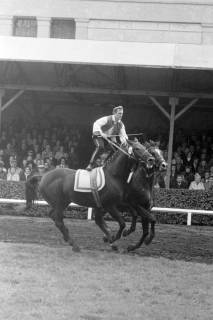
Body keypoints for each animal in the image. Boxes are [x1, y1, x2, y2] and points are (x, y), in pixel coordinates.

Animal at [25, 141, 154, 251]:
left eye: (144, 147)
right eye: (137, 148)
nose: (151, 159)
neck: (113, 175)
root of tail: (43, 176)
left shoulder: (117, 203)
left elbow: (133, 216)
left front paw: (114, 237)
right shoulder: (110, 205)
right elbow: (122, 223)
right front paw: (112, 238)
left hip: (62, 203)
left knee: (54, 216)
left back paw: (69, 239)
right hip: (60, 203)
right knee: (58, 219)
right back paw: (74, 244)